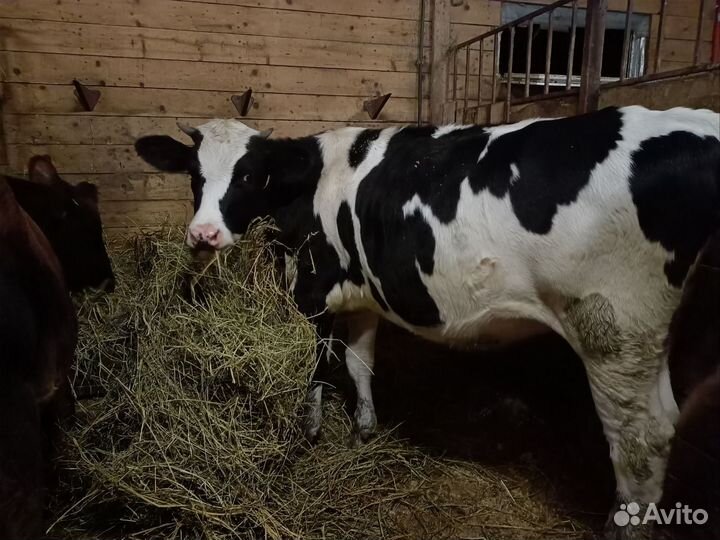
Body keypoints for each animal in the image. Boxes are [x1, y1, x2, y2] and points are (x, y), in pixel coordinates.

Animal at [135, 106, 720, 538]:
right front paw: (363, 430)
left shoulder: (313, 291)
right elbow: (360, 363)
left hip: (612, 326)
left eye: (251, 175)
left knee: (640, 440)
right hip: (647, 336)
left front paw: (309, 433)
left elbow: (317, 368)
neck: (307, 186)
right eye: (194, 175)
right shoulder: (362, 298)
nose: (204, 234)